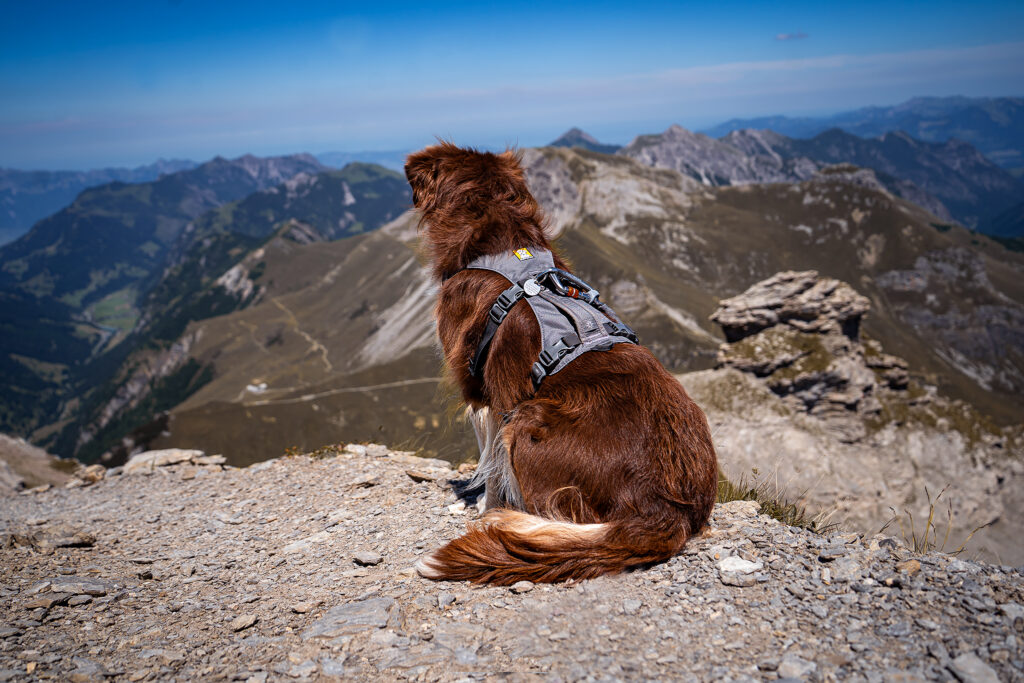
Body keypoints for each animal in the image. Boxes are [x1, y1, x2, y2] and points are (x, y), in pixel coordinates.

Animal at [403, 141, 716, 585]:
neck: (501, 242)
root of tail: (668, 507)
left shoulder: (482, 390)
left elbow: (490, 464)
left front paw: (482, 505)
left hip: (527, 419)